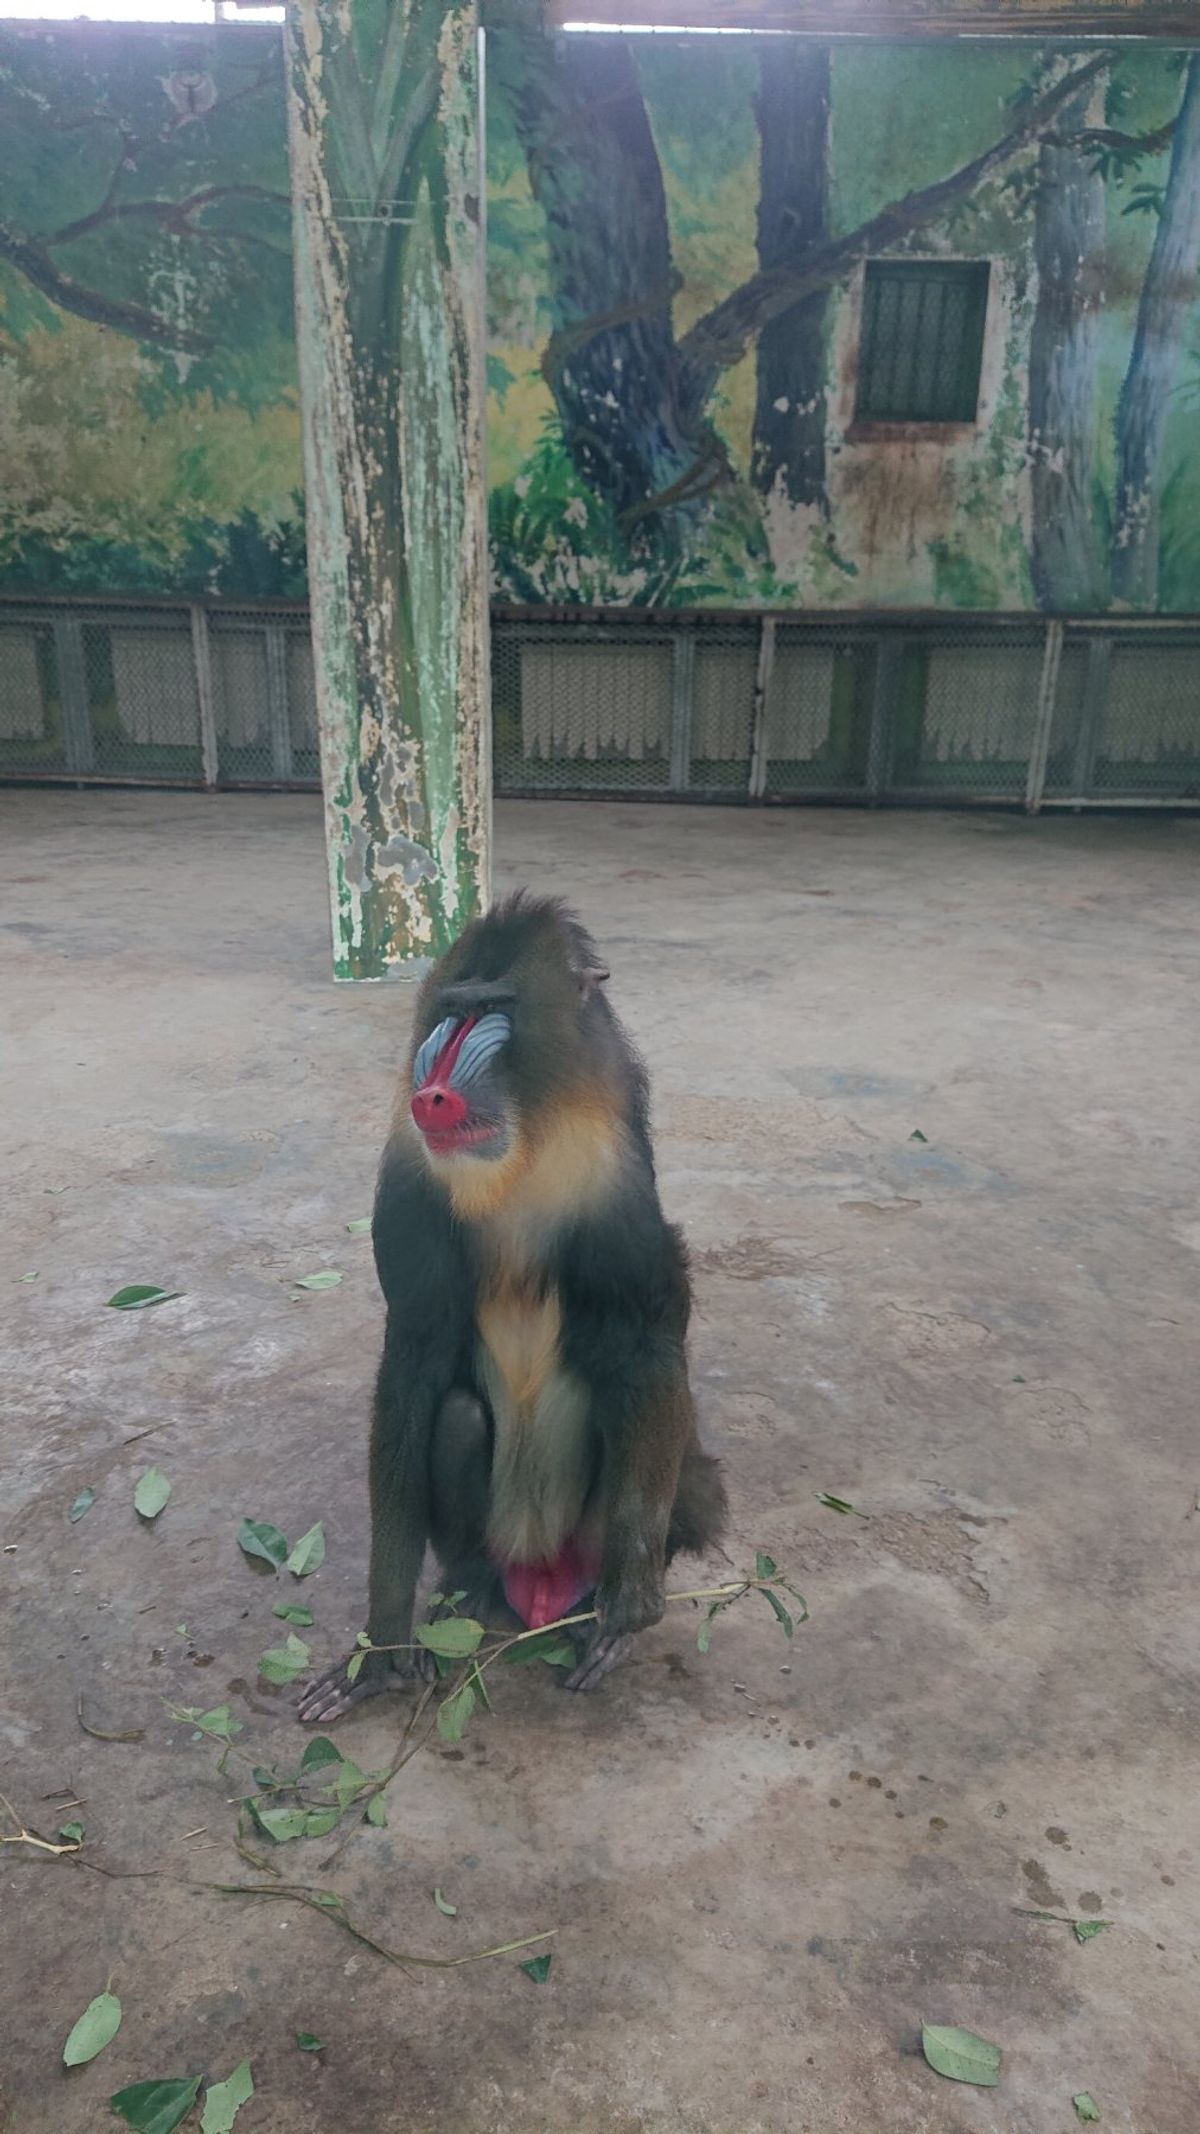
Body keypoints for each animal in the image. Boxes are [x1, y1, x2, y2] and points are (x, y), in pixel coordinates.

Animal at [299, 893, 726, 1721]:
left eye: (492, 1013)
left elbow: (646, 1344)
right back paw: (465, 1596)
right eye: (450, 1014)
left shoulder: (616, 1185)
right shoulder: (411, 1190)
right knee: (460, 1417)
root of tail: (539, 1581)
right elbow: (415, 1363)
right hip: (496, 1540)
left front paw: (631, 1608)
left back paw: (596, 1609)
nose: (431, 1093)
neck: (519, 1159)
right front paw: (381, 1647)